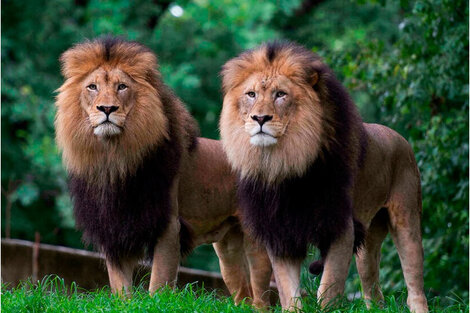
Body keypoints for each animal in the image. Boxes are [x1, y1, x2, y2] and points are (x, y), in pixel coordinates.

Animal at [54, 37, 272, 308]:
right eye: (92, 87)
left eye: (122, 87)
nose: (107, 108)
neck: (114, 159)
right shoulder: (115, 228)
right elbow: (120, 287)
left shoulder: (168, 226)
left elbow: (159, 283)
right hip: (228, 249)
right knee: (242, 292)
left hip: (255, 241)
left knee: (262, 294)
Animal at [218, 41, 428, 312]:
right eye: (251, 94)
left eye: (281, 94)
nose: (260, 118)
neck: (284, 164)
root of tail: (400, 137)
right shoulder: (281, 230)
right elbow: (288, 290)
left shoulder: (341, 226)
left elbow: (329, 287)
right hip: (368, 238)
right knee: (372, 286)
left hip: (407, 218)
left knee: (414, 281)